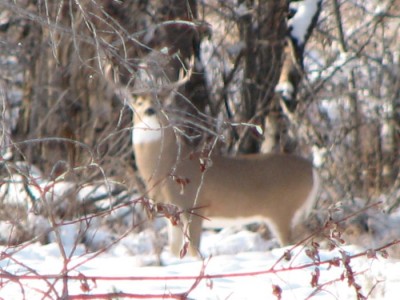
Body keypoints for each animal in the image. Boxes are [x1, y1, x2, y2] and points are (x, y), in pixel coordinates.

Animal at [130, 94, 318, 258]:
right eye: (139, 102)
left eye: (159, 101)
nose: (149, 110)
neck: (166, 167)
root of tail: (313, 169)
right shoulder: (171, 212)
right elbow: (175, 251)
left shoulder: (192, 205)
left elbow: (194, 252)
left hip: (283, 209)